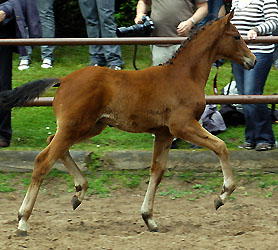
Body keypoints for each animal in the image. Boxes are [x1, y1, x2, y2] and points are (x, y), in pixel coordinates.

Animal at [0, 11, 256, 234]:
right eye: (236, 36)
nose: (252, 60)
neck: (183, 75)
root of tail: (62, 80)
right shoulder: (183, 125)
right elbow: (220, 146)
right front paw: (222, 196)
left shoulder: (164, 133)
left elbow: (157, 171)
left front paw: (149, 219)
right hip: (76, 127)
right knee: (43, 160)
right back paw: (23, 221)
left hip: (90, 126)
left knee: (52, 142)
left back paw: (79, 192)